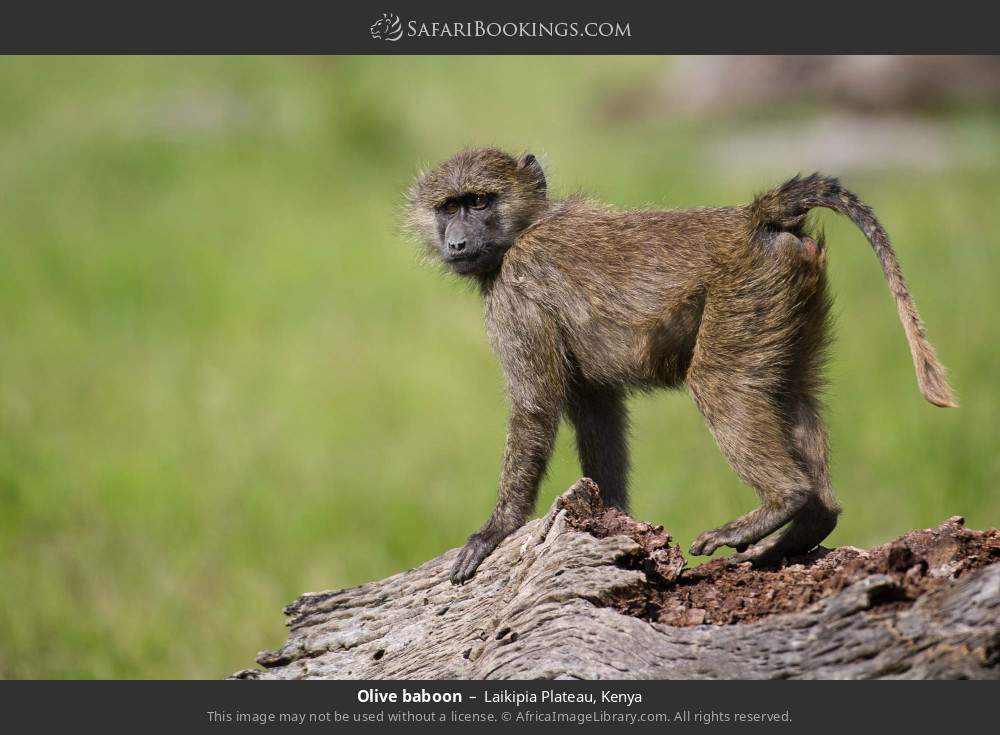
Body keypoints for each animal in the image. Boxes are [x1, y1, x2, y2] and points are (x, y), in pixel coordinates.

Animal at [405, 148, 956, 585]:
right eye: (448, 207)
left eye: (479, 202)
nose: (457, 243)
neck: (526, 229)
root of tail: (753, 218)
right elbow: (597, 412)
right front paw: (613, 520)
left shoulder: (515, 294)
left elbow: (535, 405)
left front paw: (495, 531)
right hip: (789, 292)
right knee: (792, 392)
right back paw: (813, 521)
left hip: (745, 293)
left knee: (719, 384)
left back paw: (783, 501)